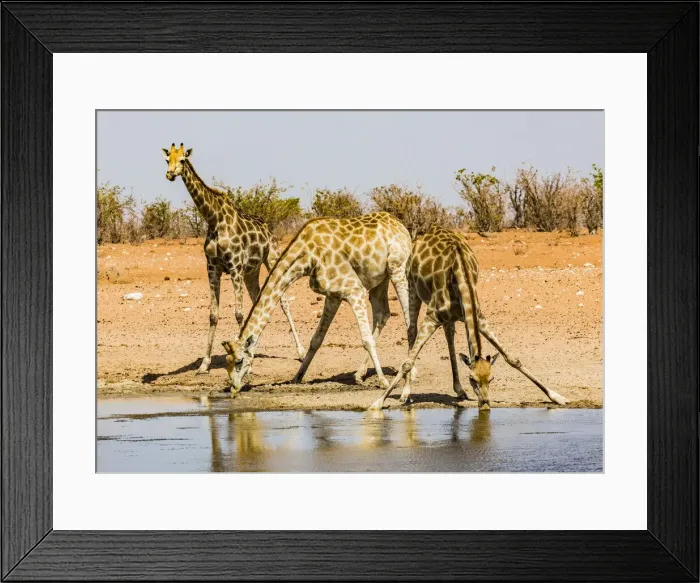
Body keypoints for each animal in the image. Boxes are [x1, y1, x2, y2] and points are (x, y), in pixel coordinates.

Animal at [162, 143, 305, 373]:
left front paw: (244, 361)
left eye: (183, 160)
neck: (214, 219)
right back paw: (253, 346)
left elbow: (238, 313)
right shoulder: (213, 268)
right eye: (167, 160)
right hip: (251, 272)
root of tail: (269, 228)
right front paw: (204, 364)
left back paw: (300, 352)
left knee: (283, 302)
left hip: (272, 259)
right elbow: (213, 314)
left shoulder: (235, 267)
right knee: (258, 301)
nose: (170, 174)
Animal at [221, 212, 413, 394]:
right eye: (227, 362)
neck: (307, 257)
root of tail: (401, 226)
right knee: (383, 314)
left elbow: (366, 340)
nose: (234, 387)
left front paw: (383, 381)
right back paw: (359, 374)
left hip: (397, 268)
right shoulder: (333, 295)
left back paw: (407, 372)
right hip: (380, 279)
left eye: (239, 361)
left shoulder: (354, 289)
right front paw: (297, 376)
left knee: (408, 317)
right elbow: (316, 339)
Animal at [369, 225, 569, 410]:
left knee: (449, 337)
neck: (461, 274)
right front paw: (377, 403)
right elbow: (407, 362)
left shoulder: (478, 318)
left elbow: (512, 358)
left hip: (448, 318)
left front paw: (557, 396)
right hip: (411, 288)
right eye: (472, 379)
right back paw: (405, 393)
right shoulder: (432, 317)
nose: (485, 404)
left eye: (491, 378)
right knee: (411, 331)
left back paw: (459, 390)